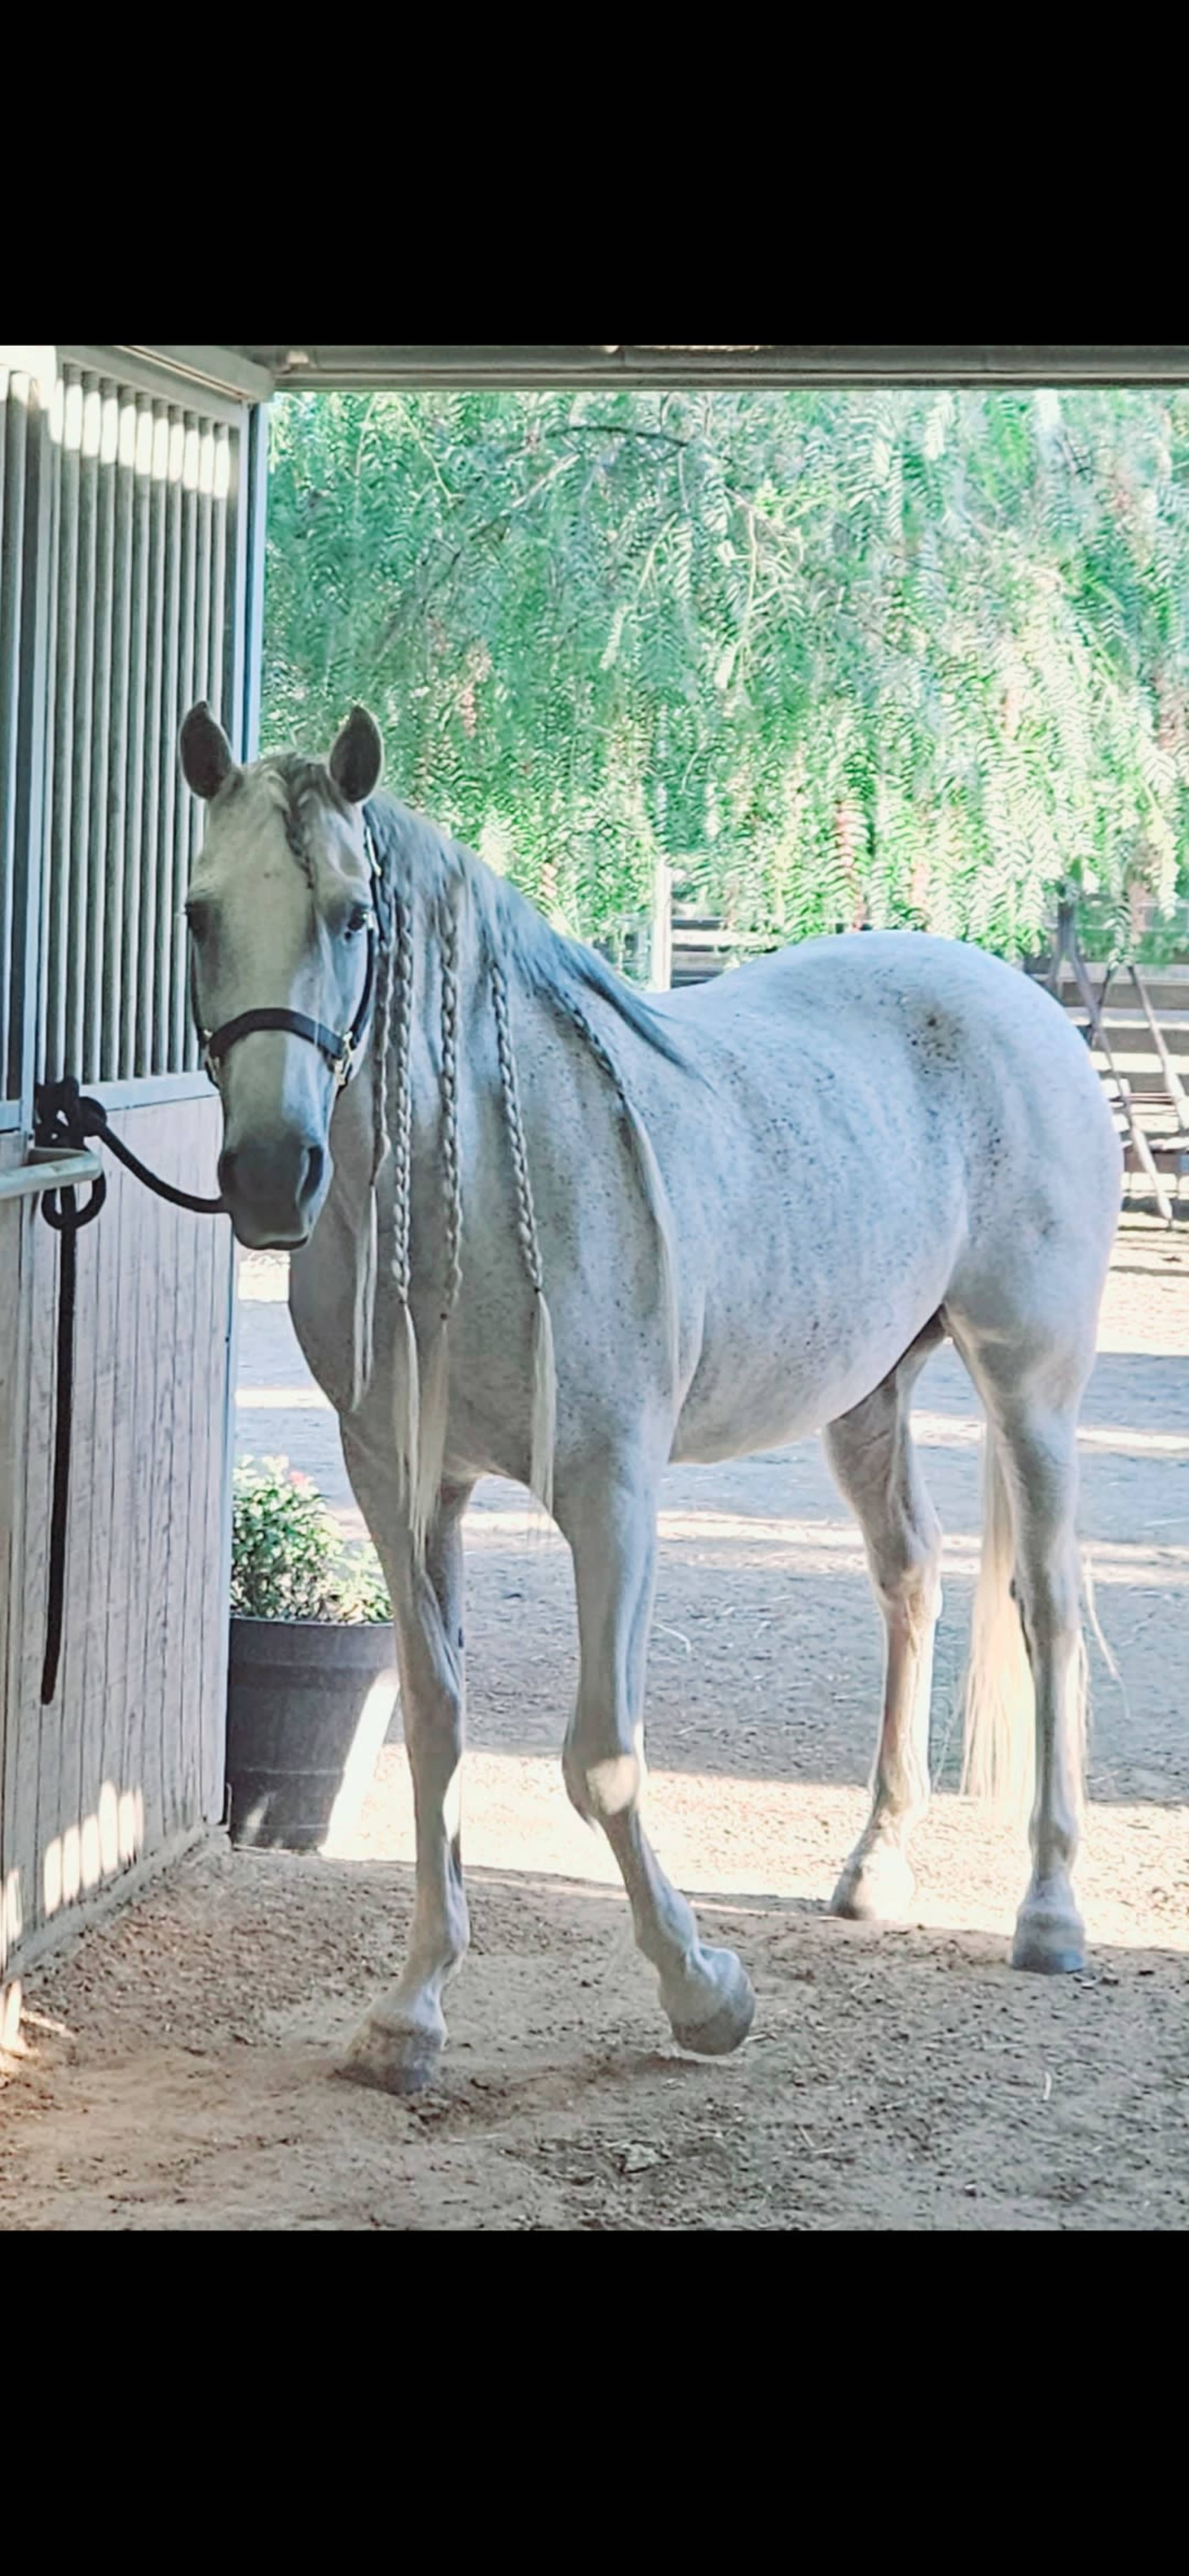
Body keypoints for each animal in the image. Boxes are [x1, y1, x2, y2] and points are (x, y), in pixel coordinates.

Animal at [180, 699, 1122, 2096]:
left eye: (352, 916)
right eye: (200, 913)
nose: (268, 1172)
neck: (478, 1185)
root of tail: (1021, 1000)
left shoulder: (610, 1496)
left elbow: (603, 1761)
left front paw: (704, 1992)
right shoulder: (405, 1491)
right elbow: (435, 1726)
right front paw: (409, 2015)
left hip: (1031, 1386)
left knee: (1045, 1609)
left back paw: (1050, 1913)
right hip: (868, 1398)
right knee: (913, 1578)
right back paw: (873, 1870)